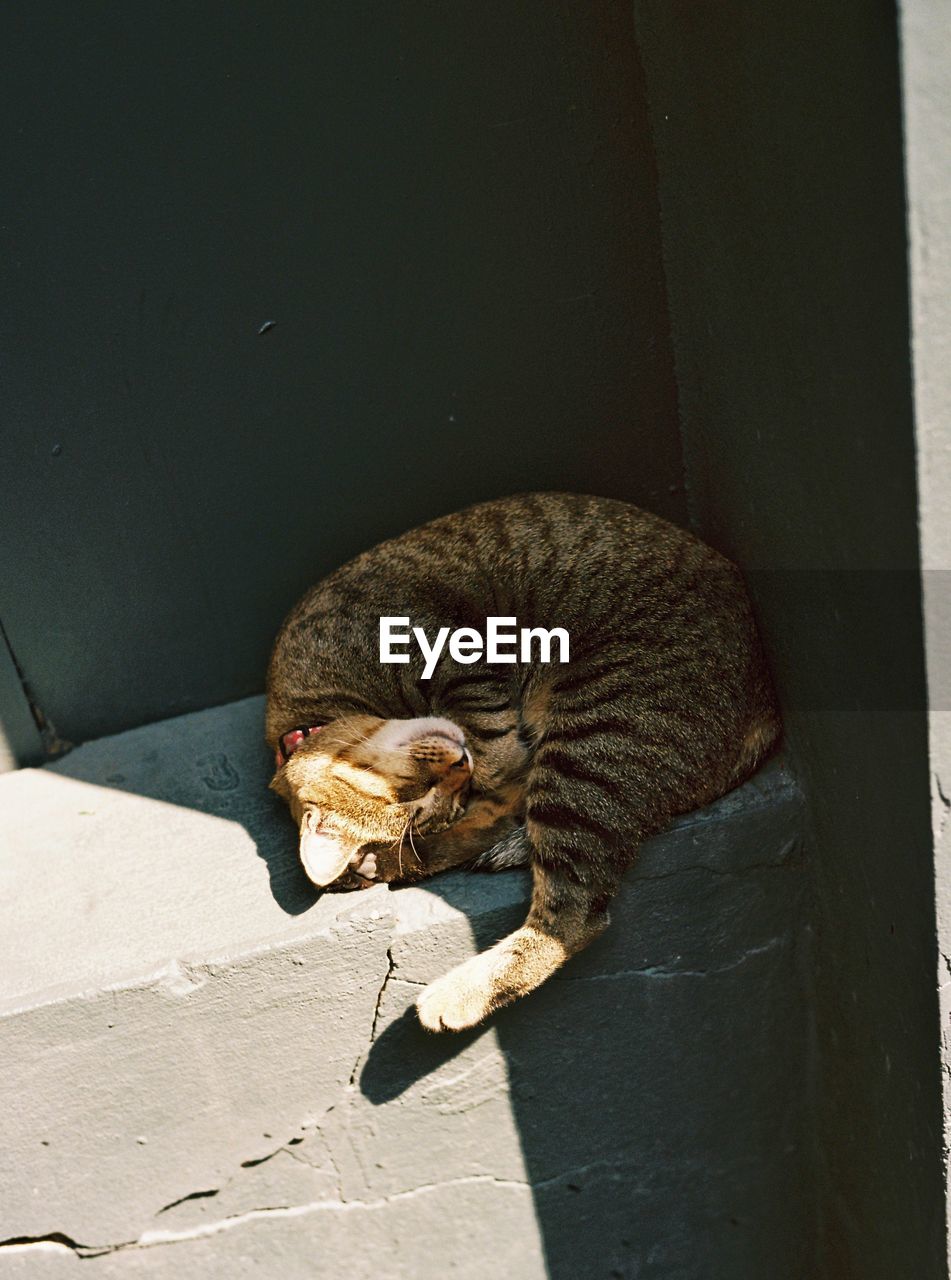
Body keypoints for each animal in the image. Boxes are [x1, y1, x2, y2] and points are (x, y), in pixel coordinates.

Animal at [263, 488, 778, 1029]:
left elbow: (492, 738)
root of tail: (767, 706)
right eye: (424, 797)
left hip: (597, 734)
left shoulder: (453, 653)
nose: (460, 768)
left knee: (571, 917)